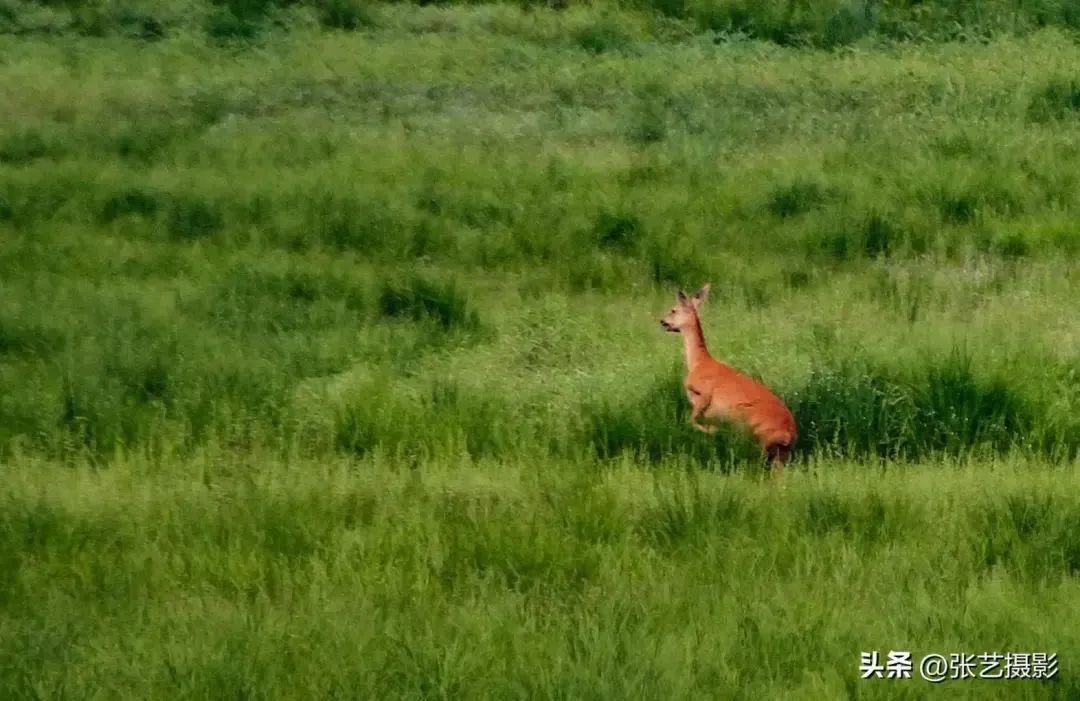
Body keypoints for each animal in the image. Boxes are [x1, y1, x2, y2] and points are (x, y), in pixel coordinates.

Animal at [652, 280, 799, 473]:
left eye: (673, 310)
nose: (662, 321)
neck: (699, 364)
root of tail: (790, 434)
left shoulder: (704, 394)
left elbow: (692, 420)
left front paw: (711, 431)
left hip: (754, 427)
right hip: (781, 451)